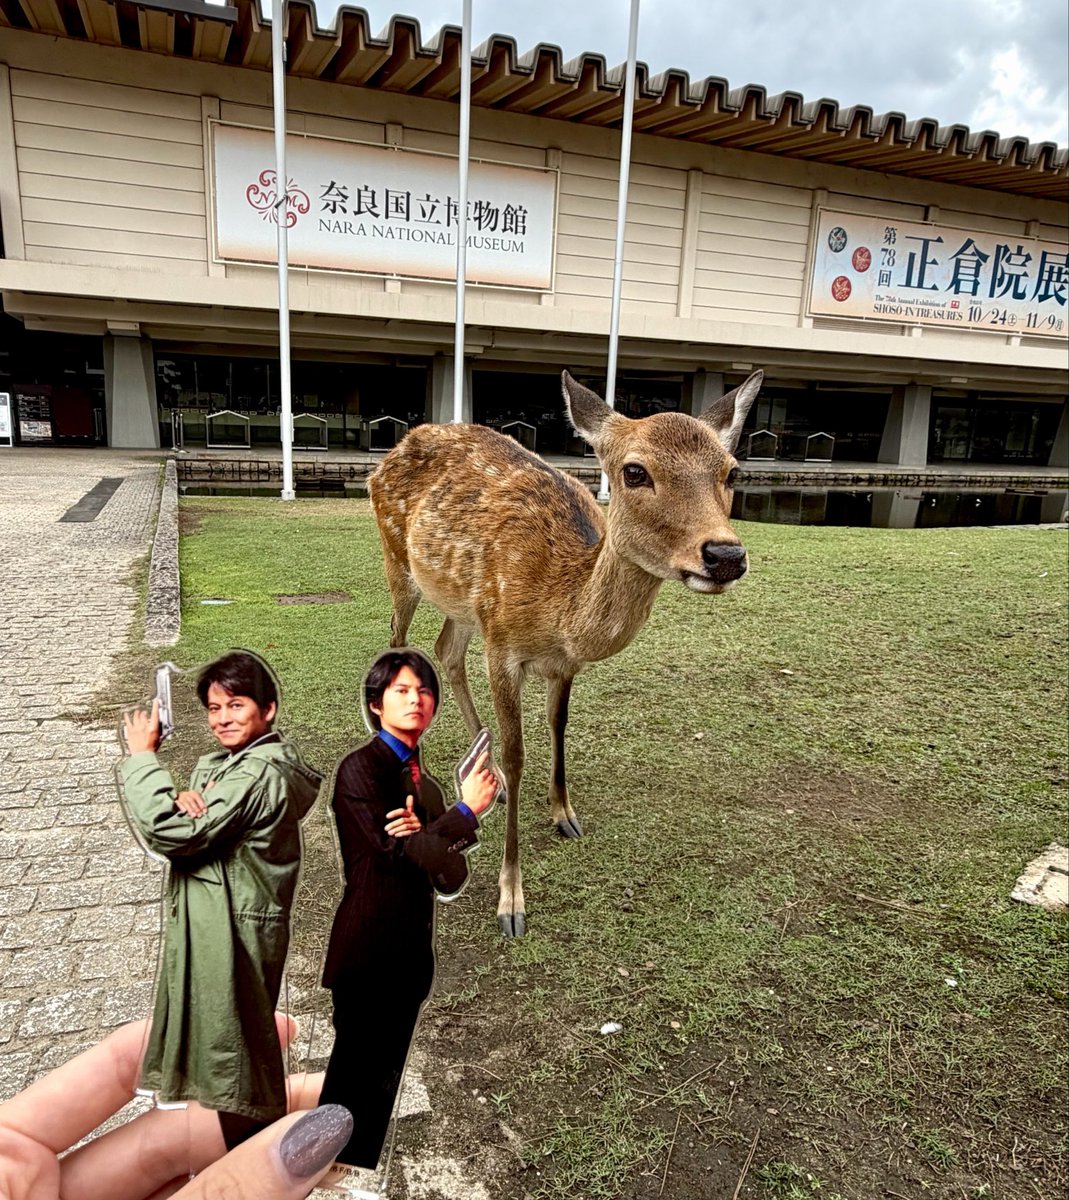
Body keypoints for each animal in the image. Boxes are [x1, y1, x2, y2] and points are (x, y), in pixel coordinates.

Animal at [369, 369, 762, 936]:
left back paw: (488, 776)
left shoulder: (561, 663)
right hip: (397, 557)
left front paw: (564, 814)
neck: (560, 610)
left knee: (446, 649)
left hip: (463, 604)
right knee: (397, 640)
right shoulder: (502, 645)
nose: (725, 554)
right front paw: (511, 902)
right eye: (634, 471)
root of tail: (389, 454)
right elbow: (519, 753)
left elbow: (559, 726)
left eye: (733, 471)